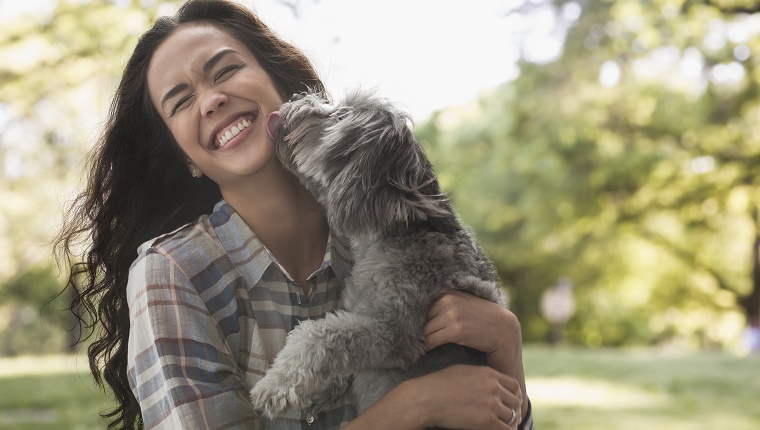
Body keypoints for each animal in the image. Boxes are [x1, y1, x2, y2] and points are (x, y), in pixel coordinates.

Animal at [252, 90, 508, 420]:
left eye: (339, 116)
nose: (297, 96)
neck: (397, 233)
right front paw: (325, 389)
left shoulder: (393, 335)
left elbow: (319, 335)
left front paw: (277, 387)